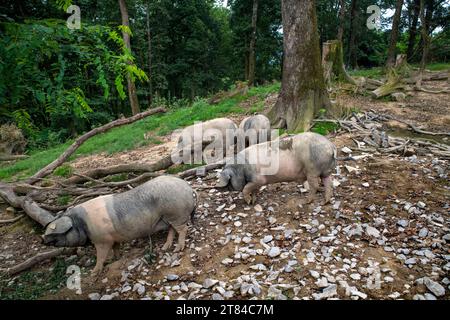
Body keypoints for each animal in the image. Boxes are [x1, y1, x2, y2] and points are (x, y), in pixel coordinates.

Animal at [41, 175, 195, 276]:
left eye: (53, 232)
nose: (43, 239)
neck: (81, 223)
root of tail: (187, 186)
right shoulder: (113, 238)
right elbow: (116, 248)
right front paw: (115, 259)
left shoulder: (102, 240)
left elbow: (101, 255)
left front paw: (94, 273)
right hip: (169, 217)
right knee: (172, 230)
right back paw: (165, 247)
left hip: (175, 214)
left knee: (183, 229)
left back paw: (178, 249)